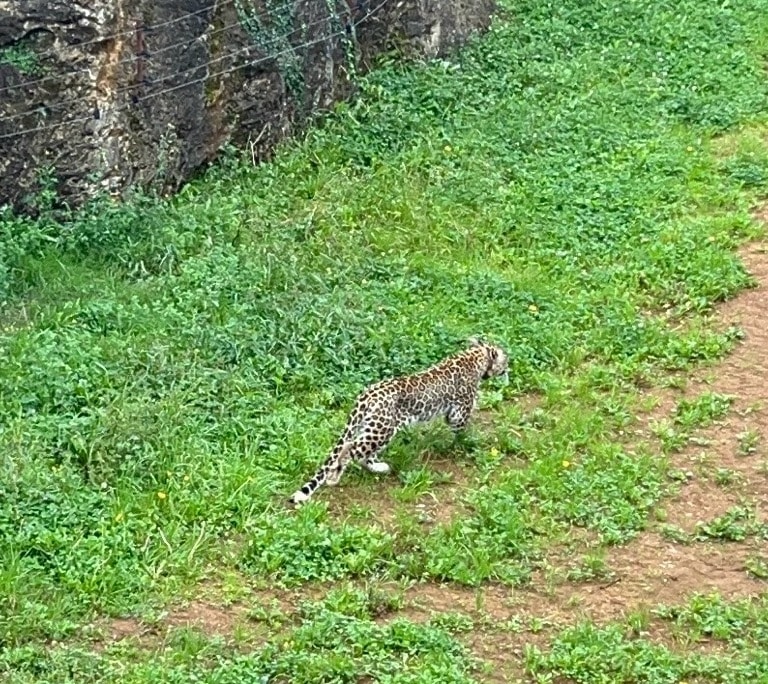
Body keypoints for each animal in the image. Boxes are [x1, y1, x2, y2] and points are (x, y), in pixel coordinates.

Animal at [290, 340, 510, 504]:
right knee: (350, 448)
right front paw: (468, 442)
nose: (509, 368)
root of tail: (366, 395)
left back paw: (379, 468)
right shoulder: (459, 412)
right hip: (381, 430)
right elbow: (462, 430)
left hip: (374, 428)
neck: (476, 356)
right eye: (505, 359)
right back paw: (334, 477)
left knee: (362, 453)